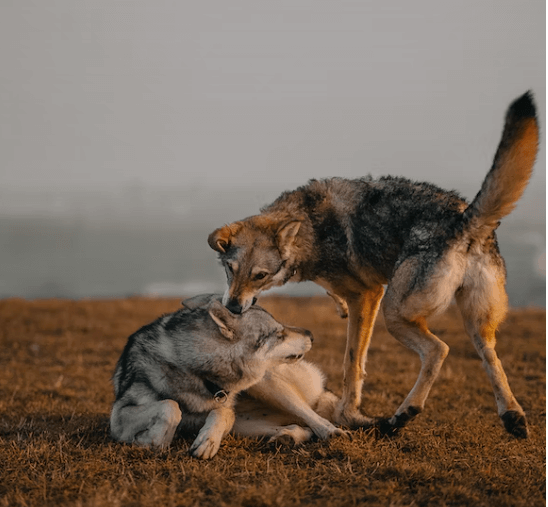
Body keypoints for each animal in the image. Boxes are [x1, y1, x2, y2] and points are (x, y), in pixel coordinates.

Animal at [109, 294, 344, 460]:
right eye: (278, 333)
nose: (311, 335)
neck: (199, 375)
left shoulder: (225, 407)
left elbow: (221, 412)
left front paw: (208, 441)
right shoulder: (118, 417)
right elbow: (170, 406)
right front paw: (154, 439)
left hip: (268, 387)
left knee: (312, 418)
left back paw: (332, 432)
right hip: (247, 425)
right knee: (301, 428)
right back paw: (285, 438)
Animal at [209, 93, 540, 438]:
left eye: (260, 275)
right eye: (231, 270)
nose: (232, 307)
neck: (310, 226)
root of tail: (466, 220)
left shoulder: (368, 296)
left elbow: (352, 363)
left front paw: (348, 415)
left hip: (394, 314)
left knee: (439, 350)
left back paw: (403, 414)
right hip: (478, 324)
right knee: (492, 360)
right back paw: (513, 417)